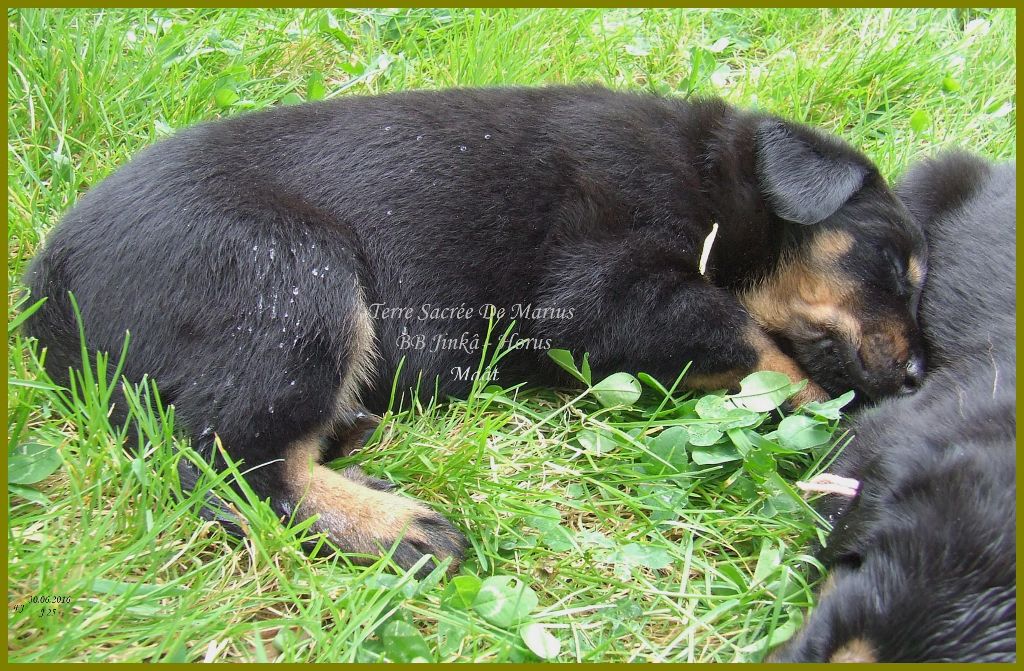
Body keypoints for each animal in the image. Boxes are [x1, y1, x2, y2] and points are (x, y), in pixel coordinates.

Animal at [24, 86, 925, 573]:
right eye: (892, 261)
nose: (919, 376)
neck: (714, 181)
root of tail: (45, 290)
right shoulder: (606, 294)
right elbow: (751, 337)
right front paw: (833, 415)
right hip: (295, 281)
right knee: (218, 463)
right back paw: (398, 529)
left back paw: (354, 445)